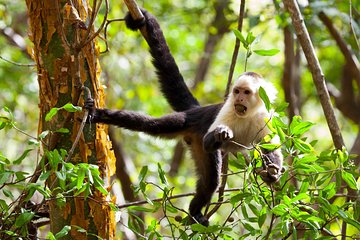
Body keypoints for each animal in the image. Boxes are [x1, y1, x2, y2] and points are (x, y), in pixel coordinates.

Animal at [85, 8, 284, 227]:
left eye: (246, 92)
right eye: (237, 91)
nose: (239, 97)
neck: (247, 114)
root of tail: (198, 110)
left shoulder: (266, 117)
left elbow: (270, 148)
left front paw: (272, 173)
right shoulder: (227, 110)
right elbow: (209, 141)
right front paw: (221, 134)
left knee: (208, 181)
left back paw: (195, 211)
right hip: (190, 124)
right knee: (157, 128)